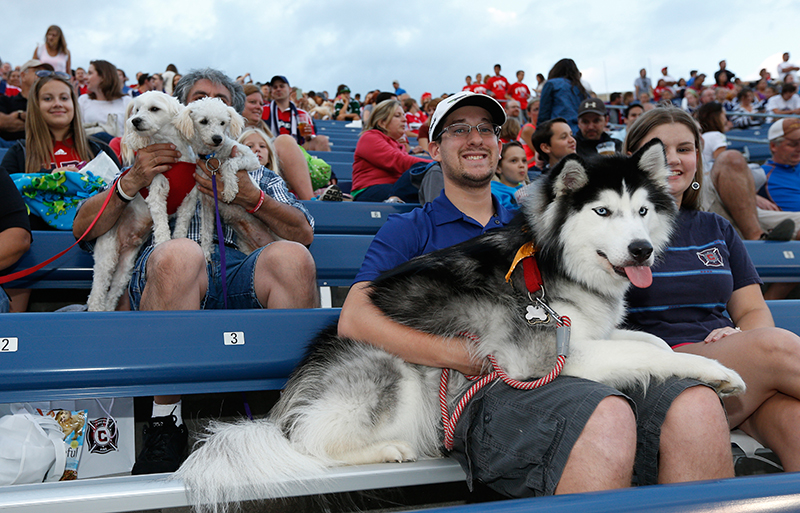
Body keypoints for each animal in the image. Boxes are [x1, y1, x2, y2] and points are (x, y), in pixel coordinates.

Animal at [175, 139, 744, 508]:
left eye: (643, 211)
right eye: (603, 212)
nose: (641, 249)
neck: (555, 261)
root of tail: (285, 404)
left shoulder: (595, 332)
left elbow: (653, 341)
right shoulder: (548, 354)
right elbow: (651, 351)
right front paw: (722, 372)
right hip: (391, 374)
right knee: (308, 447)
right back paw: (386, 450)